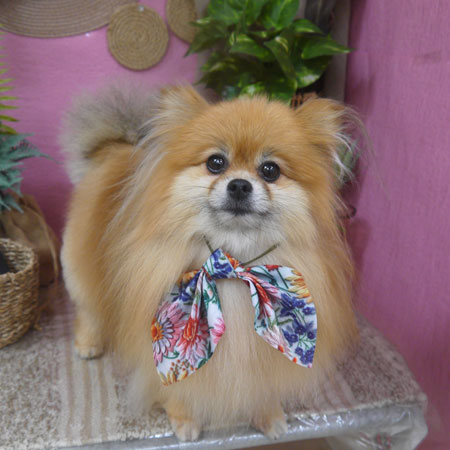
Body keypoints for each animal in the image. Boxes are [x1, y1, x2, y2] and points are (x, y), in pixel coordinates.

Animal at [61, 84, 357, 441]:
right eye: (216, 163)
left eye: (270, 170)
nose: (240, 185)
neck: (234, 261)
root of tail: (118, 148)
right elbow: (176, 383)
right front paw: (184, 418)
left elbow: (259, 384)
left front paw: (268, 414)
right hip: (79, 265)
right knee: (87, 308)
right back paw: (88, 343)